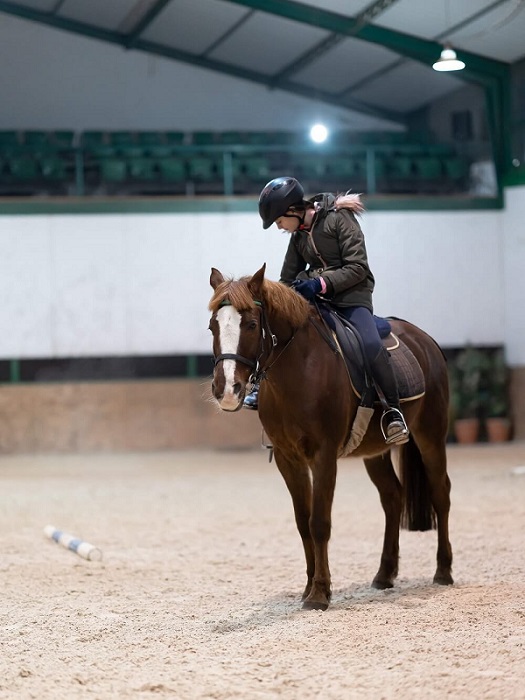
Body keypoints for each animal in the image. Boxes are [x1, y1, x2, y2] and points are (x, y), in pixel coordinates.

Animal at [208, 266, 450, 608]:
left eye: (252, 325)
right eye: (212, 327)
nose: (227, 390)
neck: (299, 370)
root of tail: (425, 340)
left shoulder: (323, 456)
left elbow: (320, 522)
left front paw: (320, 593)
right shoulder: (287, 458)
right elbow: (303, 522)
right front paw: (309, 586)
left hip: (431, 434)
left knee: (441, 493)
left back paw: (444, 571)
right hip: (374, 452)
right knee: (392, 498)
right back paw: (384, 574)